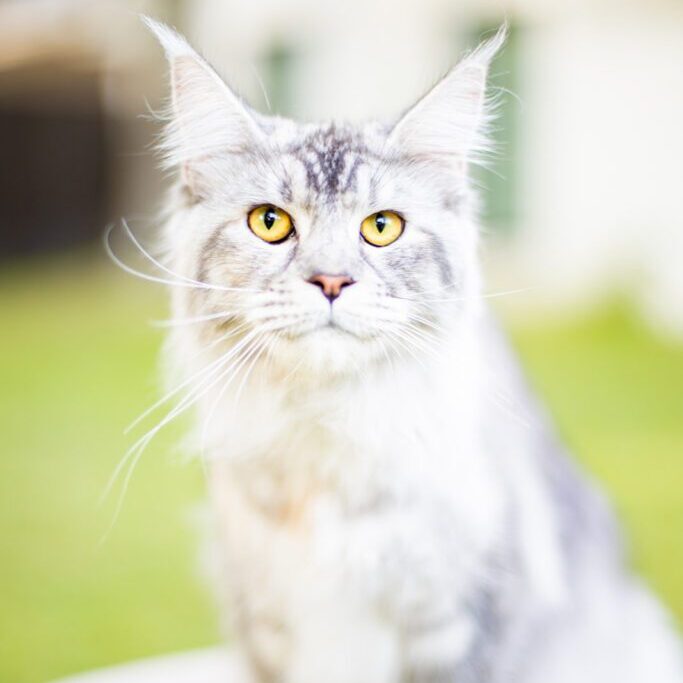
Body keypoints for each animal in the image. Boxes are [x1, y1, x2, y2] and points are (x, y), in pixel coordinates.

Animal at [131, 18, 680, 683]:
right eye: (269, 222)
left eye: (382, 227)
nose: (332, 281)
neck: (328, 443)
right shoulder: (265, 623)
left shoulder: (464, 622)